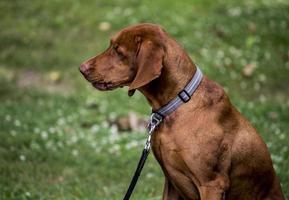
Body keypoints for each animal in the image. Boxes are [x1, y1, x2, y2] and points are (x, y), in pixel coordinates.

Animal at [79, 23, 284, 198]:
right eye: (112, 46)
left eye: (118, 51)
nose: (82, 68)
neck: (177, 104)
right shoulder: (171, 181)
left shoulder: (212, 184)